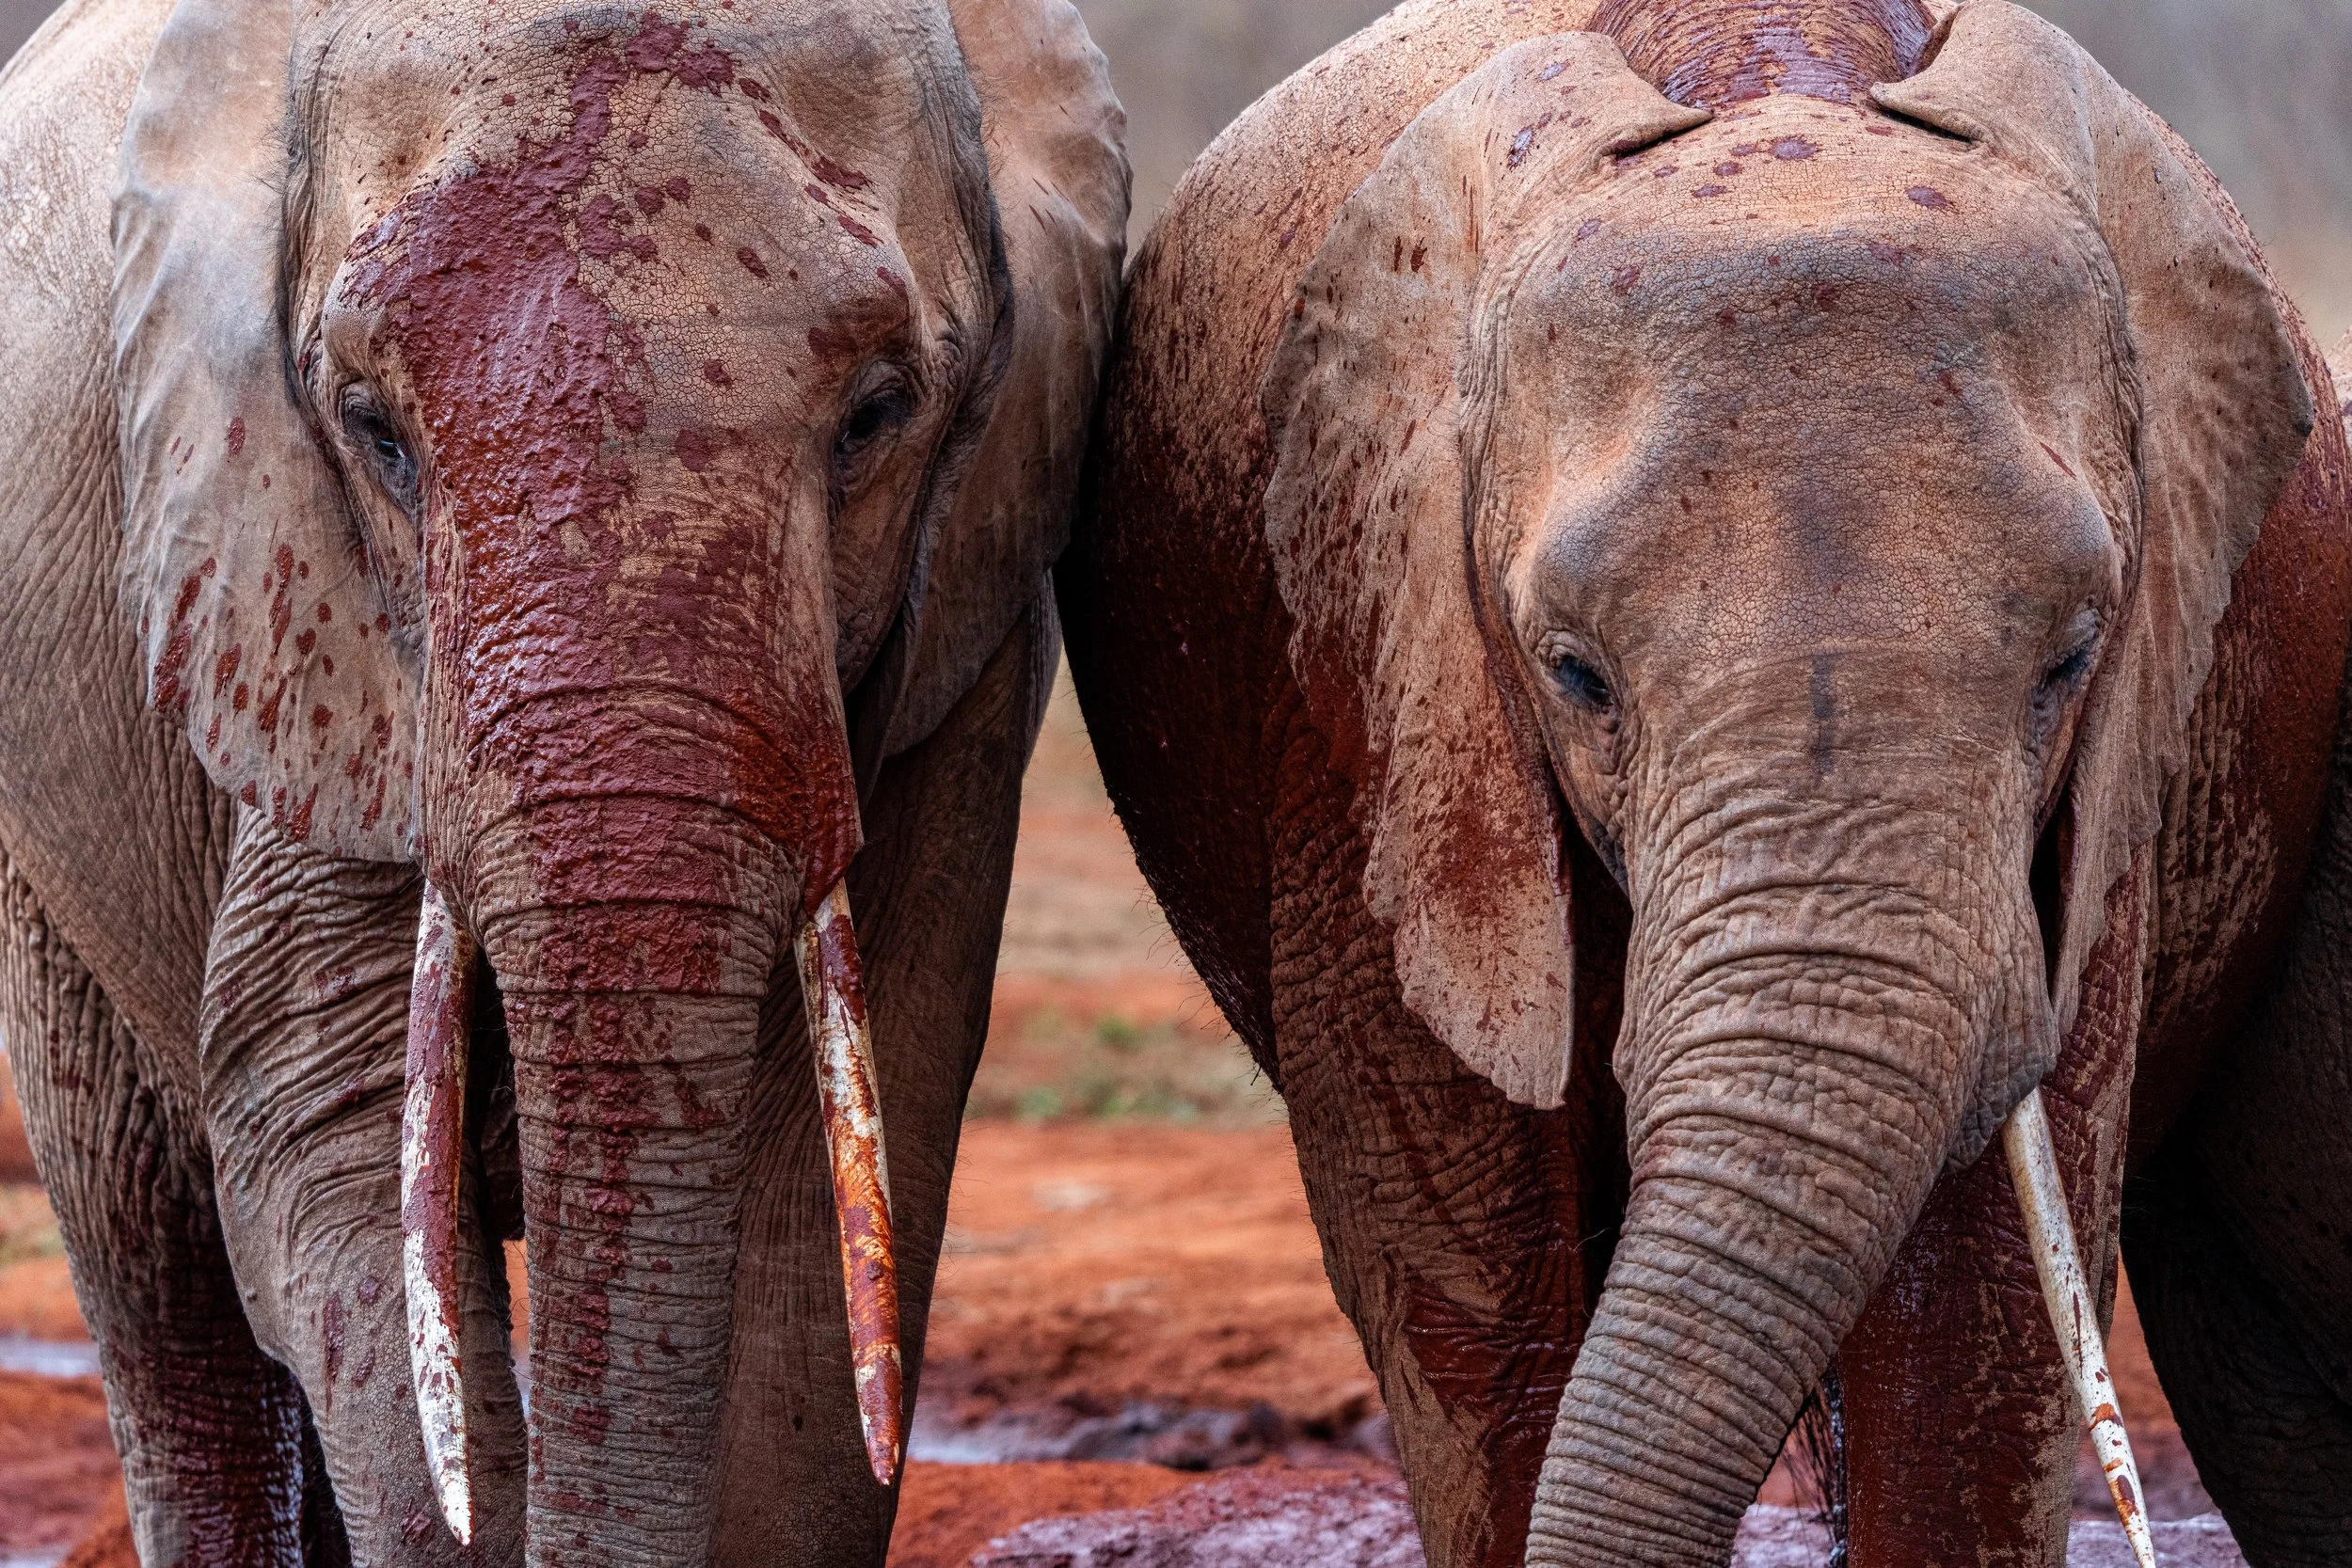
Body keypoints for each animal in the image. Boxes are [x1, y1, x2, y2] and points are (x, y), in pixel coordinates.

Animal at [0, 0, 1124, 1557]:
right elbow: (341, 1154)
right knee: (156, 1276)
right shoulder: (300, 611)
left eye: (878, 412)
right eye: (374, 428)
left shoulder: (958, 642)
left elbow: (813, 1213)